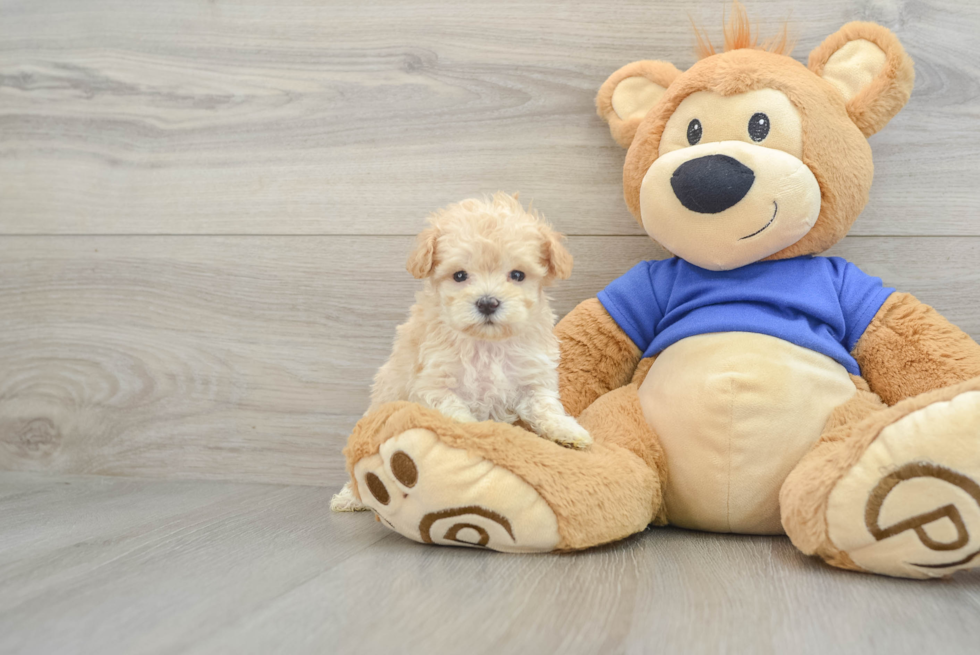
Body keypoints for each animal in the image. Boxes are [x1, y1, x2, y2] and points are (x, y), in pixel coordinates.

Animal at [332, 193, 588, 512]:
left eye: (517, 275)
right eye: (460, 275)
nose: (488, 302)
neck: (487, 343)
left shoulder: (532, 378)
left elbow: (545, 407)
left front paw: (568, 432)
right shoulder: (435, 384)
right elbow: (459, 418)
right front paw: (476, 439)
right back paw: (350, 498)